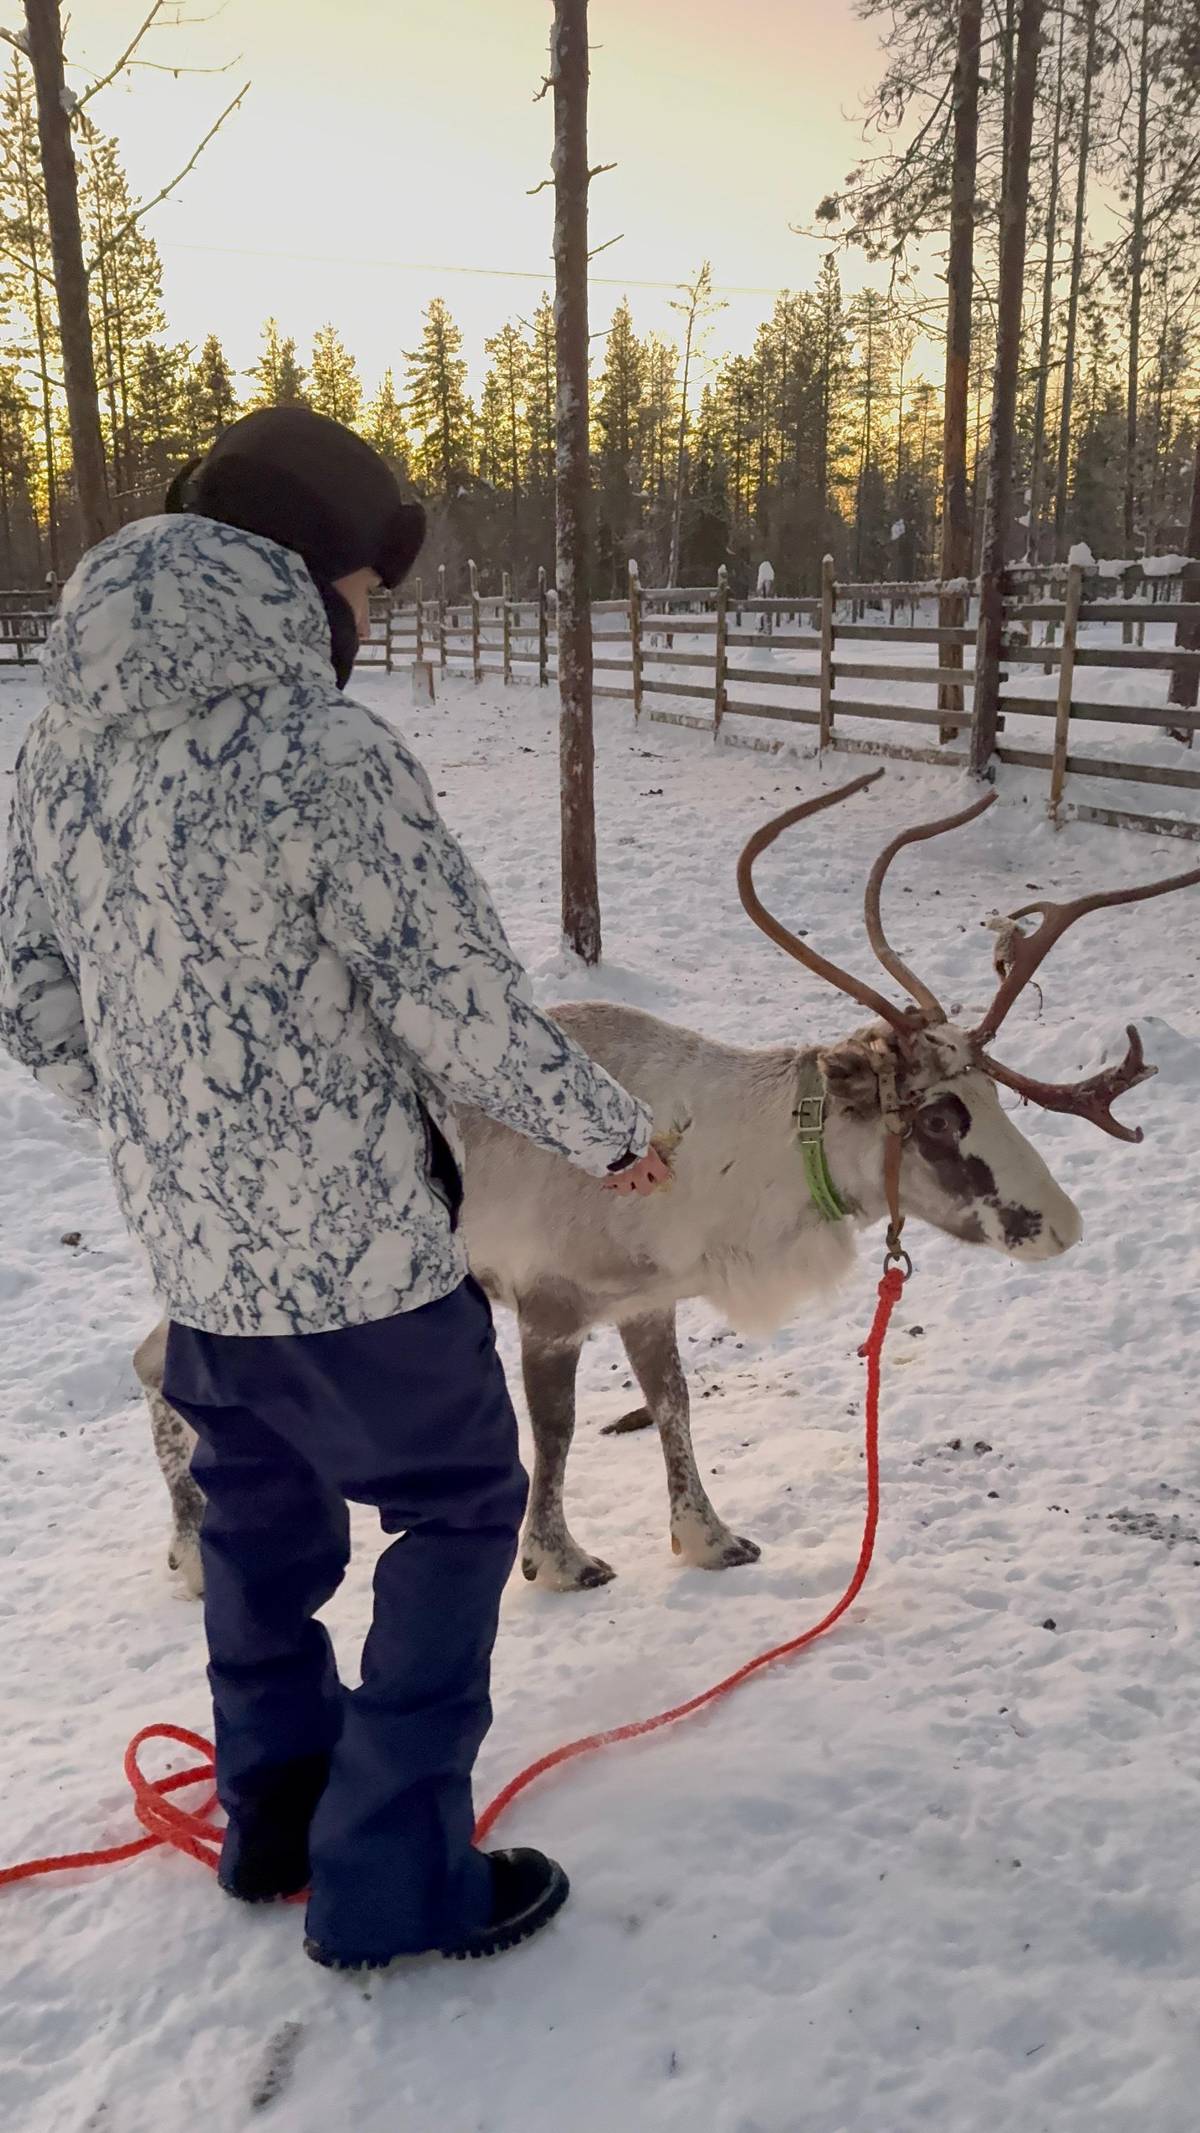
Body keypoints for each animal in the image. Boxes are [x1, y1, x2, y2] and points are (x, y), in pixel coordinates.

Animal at [132, 772, 1200, 1598]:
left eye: (990, 1091)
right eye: (938, 1118)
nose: (1060, 1223)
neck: (705, 1162)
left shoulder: (648, 1302)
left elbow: (678, 1404)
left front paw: (709, 1538)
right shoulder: (550, 1305)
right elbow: (556, 1432)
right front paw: (557, 1560)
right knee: (154, 1362)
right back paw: (191, 1549)